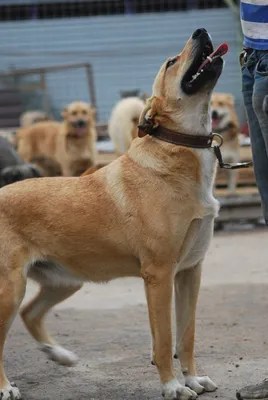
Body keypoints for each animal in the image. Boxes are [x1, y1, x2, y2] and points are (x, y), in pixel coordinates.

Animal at [0, 28, 226, 400]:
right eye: (171, 62)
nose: (201, 31)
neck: (178, 150)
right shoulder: (159, 275)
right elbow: (165, 340)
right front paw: (173, 386)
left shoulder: (190, 272)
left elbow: (187, 336)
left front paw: (192, 379)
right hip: (11, 287)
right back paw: (6, 387)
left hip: (63, 280)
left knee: (30, 313)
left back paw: (58, 354)